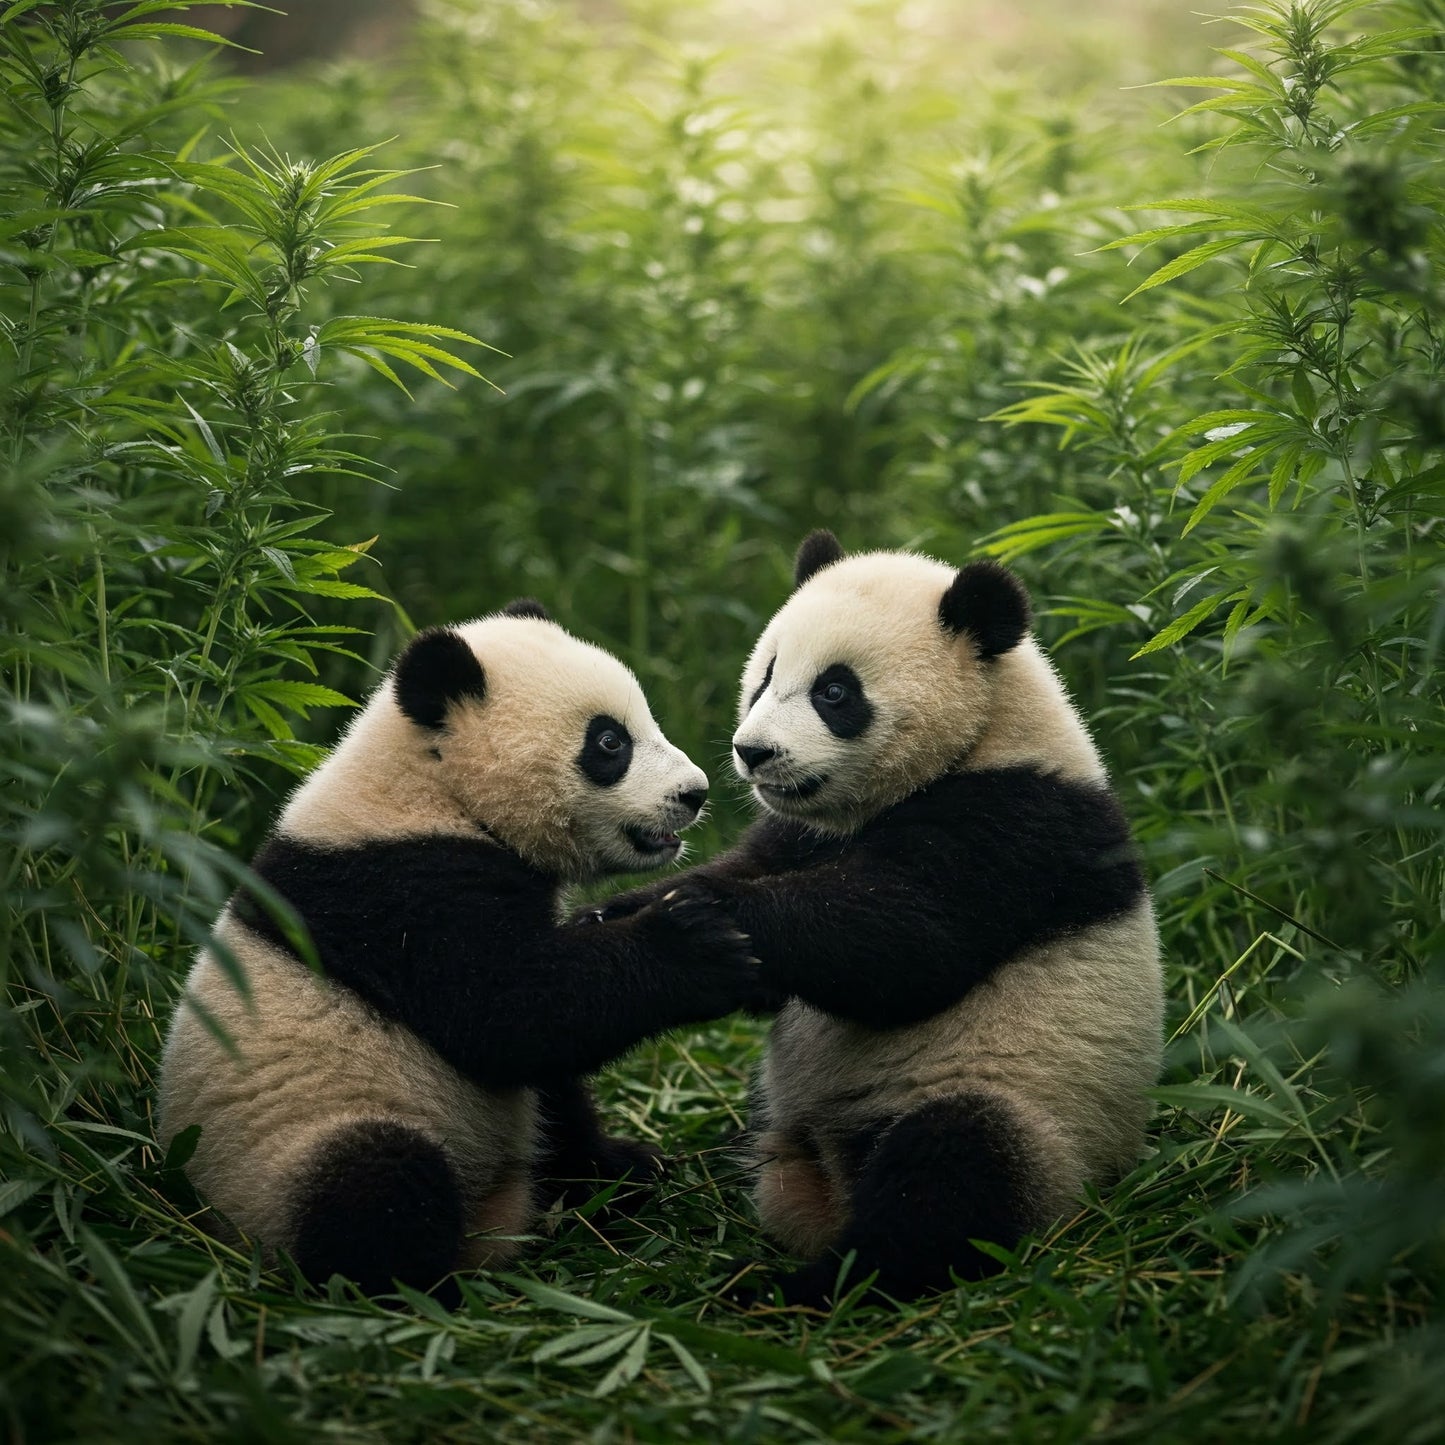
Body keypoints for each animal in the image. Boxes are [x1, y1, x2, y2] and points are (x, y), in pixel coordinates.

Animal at [158, 600, 757, 1301]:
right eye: (610, 743)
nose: (694, 794)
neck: (431, 789)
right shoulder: (402, 897)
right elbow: (507, 1016)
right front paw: (700, 945)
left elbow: (546, 1054)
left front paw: (629, 1164)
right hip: (283, 1157)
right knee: (375, 1184)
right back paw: (424, 1287)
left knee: (548, 1114)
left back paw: (606, 1184)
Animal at [596, 532, 1162, 1306]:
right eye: (765, 675)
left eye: (835, 692)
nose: (754, 752)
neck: (986, 734)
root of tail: (828, 1186)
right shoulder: (801, 831)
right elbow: (753, 875)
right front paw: (628, 915)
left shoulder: (1017, 822)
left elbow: (906, 943)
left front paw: (708, 923)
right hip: (776, 1110)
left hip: (1034, 1109)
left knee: (949, 1175)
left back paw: (804, 1287)